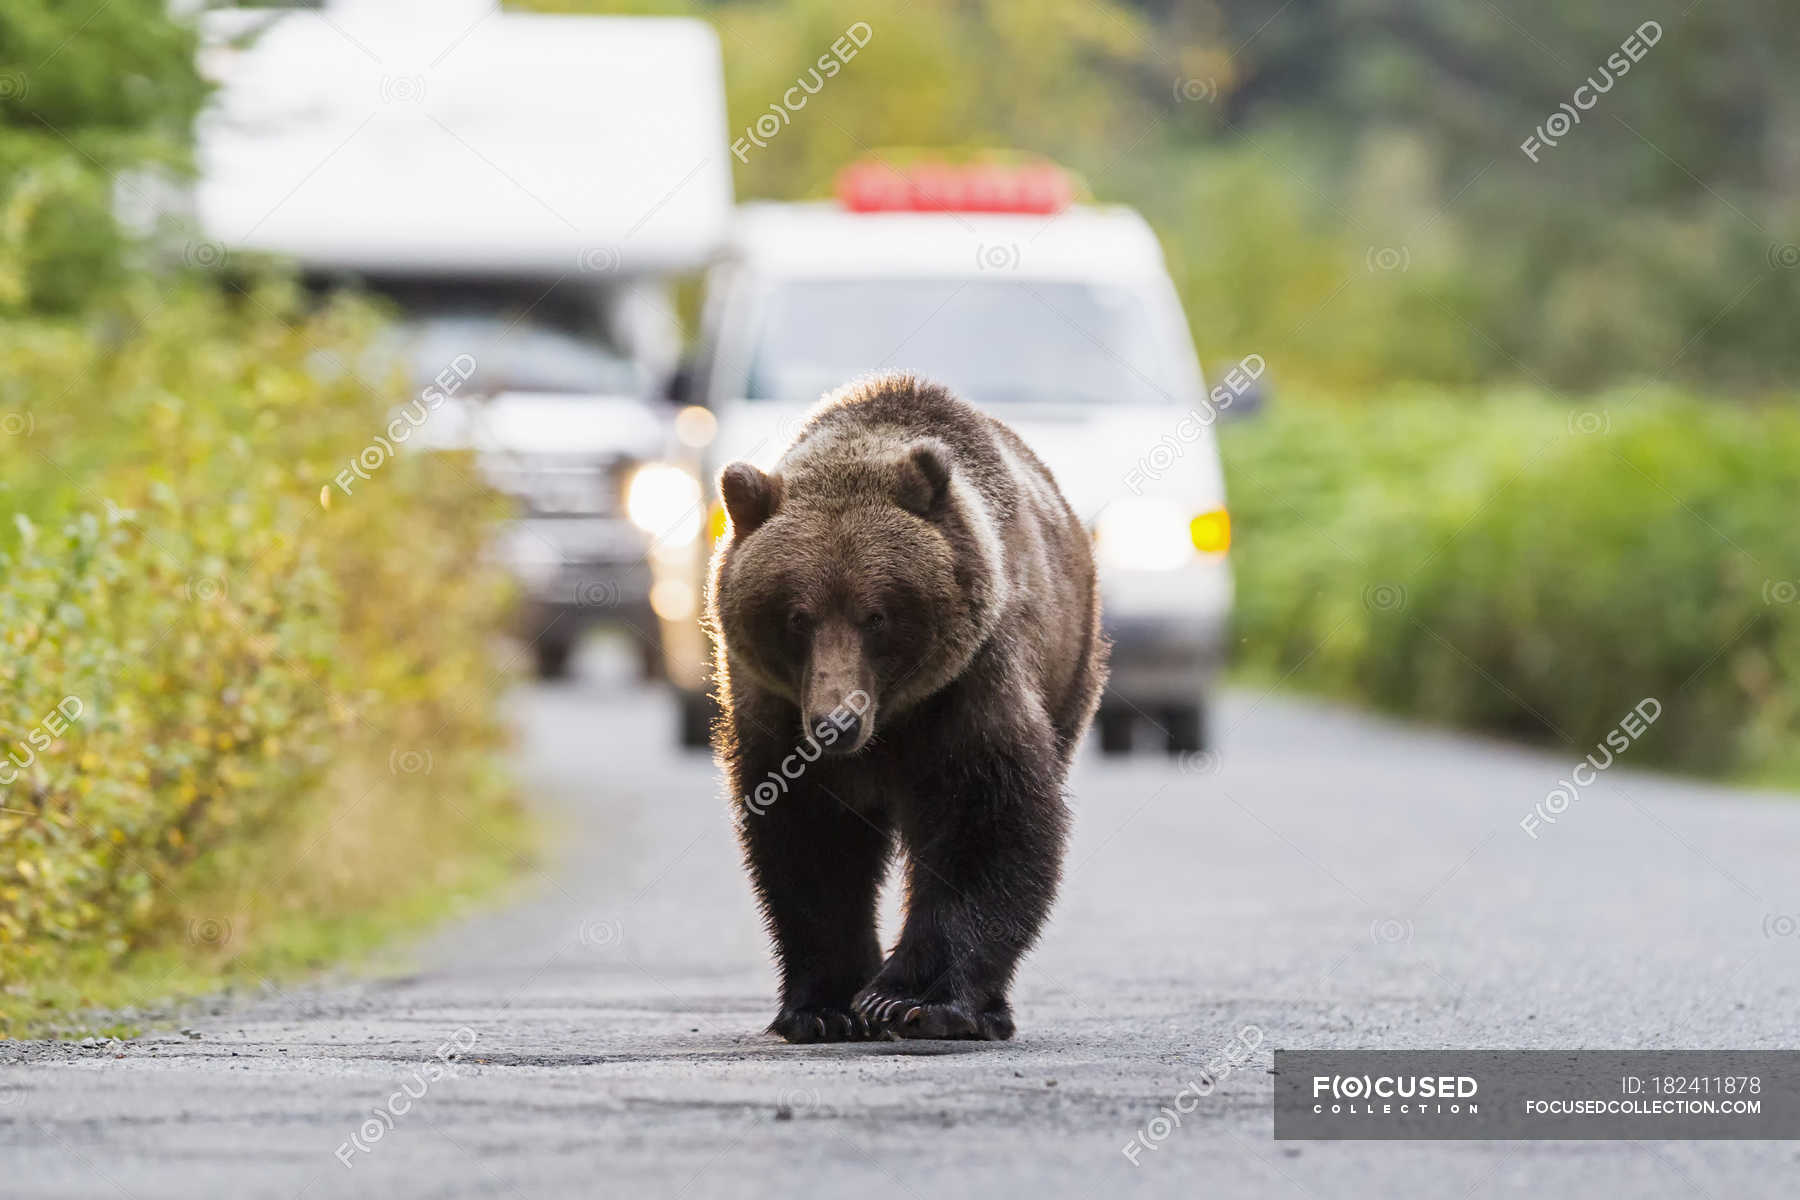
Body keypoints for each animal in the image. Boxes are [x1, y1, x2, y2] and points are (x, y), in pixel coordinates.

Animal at [705, 370, 1101, 1036]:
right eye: (796, 617)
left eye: (877, 615)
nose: (835, 722)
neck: (888, 724)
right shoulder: (777, 713)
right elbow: (809, 843)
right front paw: (825, 1007)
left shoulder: (969, 684)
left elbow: (988, 824)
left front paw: (912, 998)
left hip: (1071, 672)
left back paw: (992, 1012)